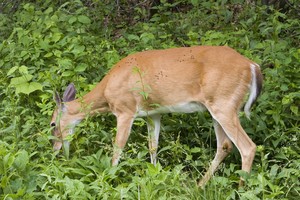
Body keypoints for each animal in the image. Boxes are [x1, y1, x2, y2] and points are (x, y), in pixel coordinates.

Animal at [51, 46, 262, 187]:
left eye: (52, 124)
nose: (55, 150)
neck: (106, 92)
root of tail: (252, 66)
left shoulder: (125, 110)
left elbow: (118, 147)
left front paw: (110, 176)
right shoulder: (153, 114)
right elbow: (153, 146)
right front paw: (153, 175)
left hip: (223, 103)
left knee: (247, 147)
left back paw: (240, 189)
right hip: (217, 108)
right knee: (225, 145)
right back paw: (199, 185)